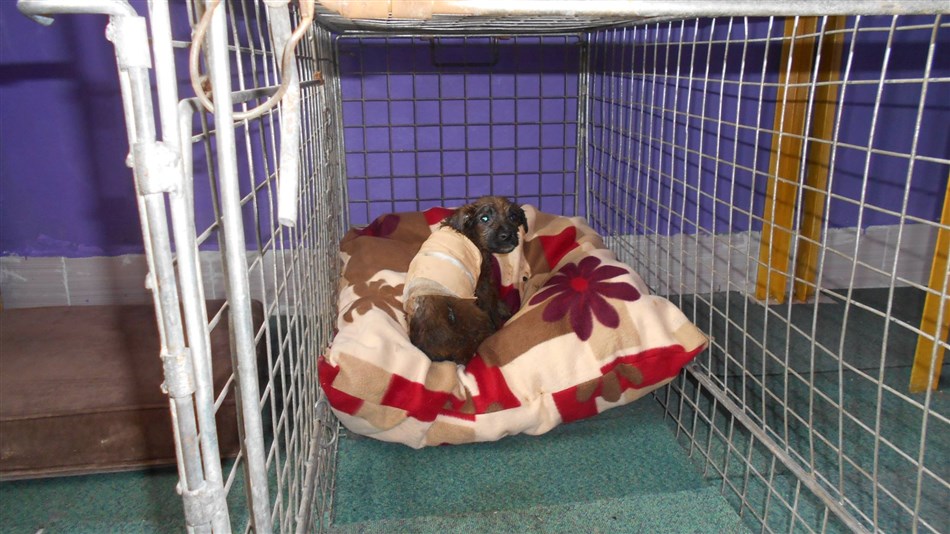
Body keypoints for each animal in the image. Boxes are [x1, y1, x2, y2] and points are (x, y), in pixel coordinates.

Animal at [404, 196, 528, 364]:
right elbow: (492, 301)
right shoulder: (483, 281)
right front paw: (501, 313)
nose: (507, 235)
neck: (470, 234)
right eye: (484, 218)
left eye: (513, 217)